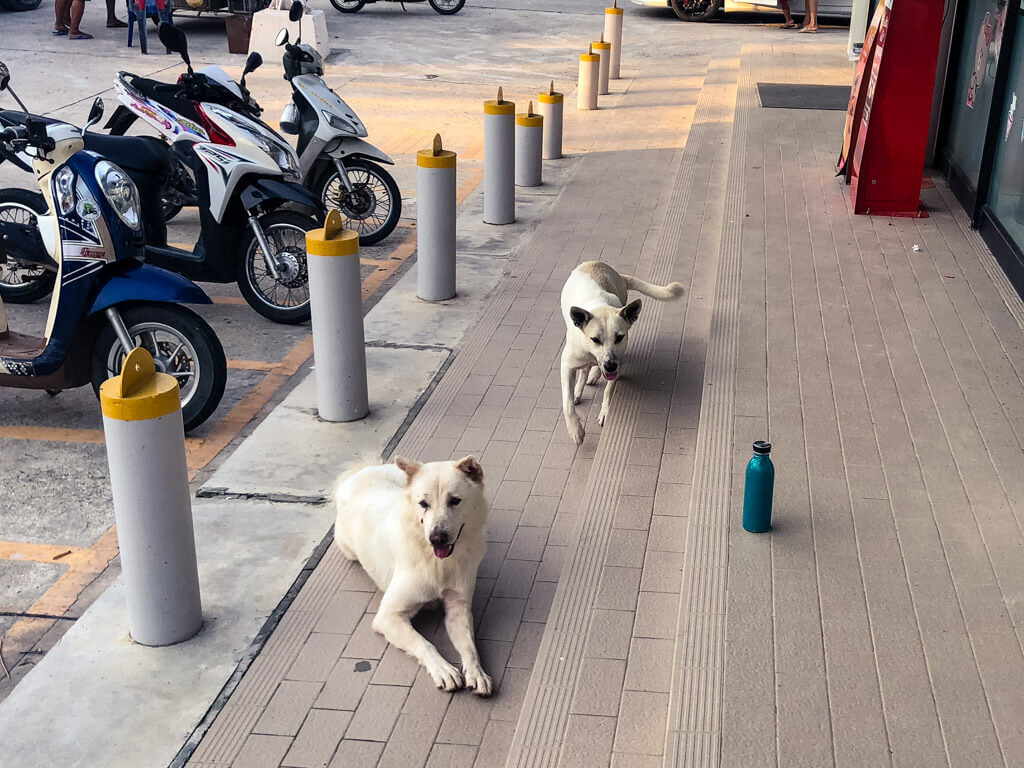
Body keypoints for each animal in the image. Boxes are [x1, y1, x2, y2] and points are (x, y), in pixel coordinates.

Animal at [333, 456, 493, 696]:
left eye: (455, 501)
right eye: (423, 504)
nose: (437, 538)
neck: (437, 562)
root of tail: (361, 471)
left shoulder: (459, 609)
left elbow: (469, 647)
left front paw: (477, 673)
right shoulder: (388, 617)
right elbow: (424, 643)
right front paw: (443, 669)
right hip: (350, 550)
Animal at [561, 262, 688, 444]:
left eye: (619, 337)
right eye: (595, 339)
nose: (610, 365)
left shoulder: (618, 361)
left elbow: (609, 389)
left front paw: (605, 412)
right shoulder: (567, 365)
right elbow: (567, 404)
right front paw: (575, 430)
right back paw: (580, 388)